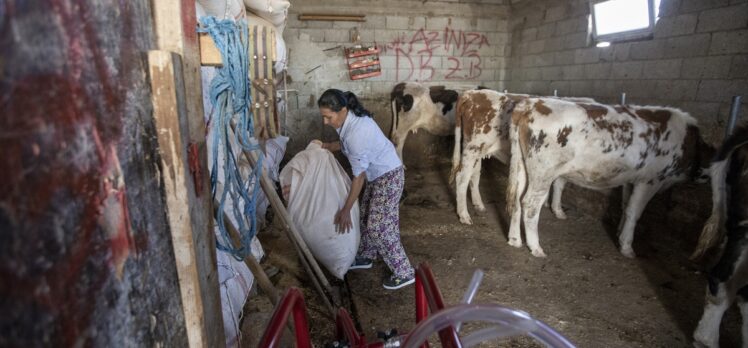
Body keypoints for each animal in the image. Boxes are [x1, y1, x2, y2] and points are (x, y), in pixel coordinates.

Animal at [448, 89, 592, 224]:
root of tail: (471, 93)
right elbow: (559, 184)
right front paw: (558, 210)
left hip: (473, 147)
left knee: (474, 174)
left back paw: (478, 205)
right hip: (474, 147)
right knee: (461, 177)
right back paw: (464, 215)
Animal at [508, 96, 712, 256]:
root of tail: (533, 103)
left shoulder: (631, 179)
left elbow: (626, 206)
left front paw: (619, 233)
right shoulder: (650, 180)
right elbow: (634, 212)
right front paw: (627, 247)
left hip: (523, 168)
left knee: (517, 199)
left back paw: (515, 240)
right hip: (543, 172)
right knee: (530, 203)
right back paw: (535, 247)